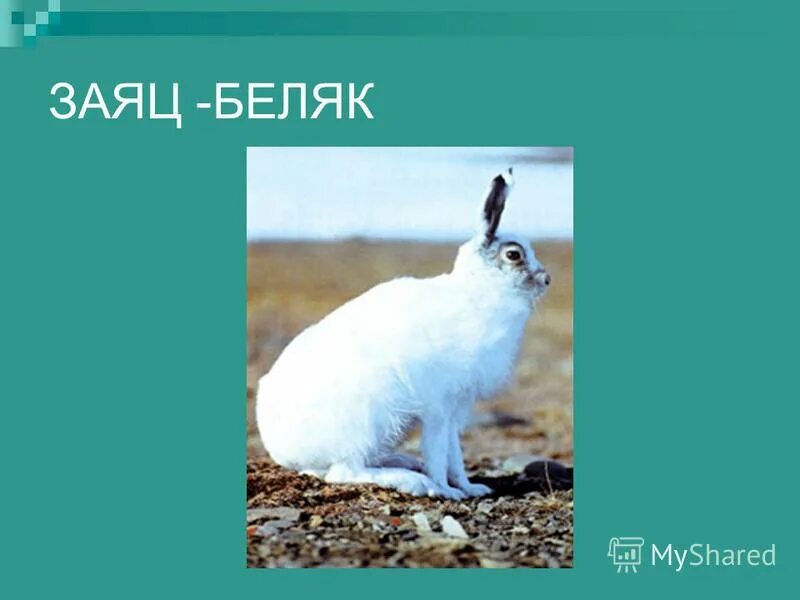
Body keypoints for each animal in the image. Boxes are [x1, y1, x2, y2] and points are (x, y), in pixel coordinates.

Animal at [256, 169, 550, 499]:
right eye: (513, 255)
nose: (547, 279)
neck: (478, 291)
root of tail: (285, 452)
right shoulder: (438, 405)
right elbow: (438, 452)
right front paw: (446, 491)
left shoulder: (454, 408)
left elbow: (455, 454)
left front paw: (471, 488)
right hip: (369, 420)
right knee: (344, 472)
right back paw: (412, 480)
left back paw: (406, 463)